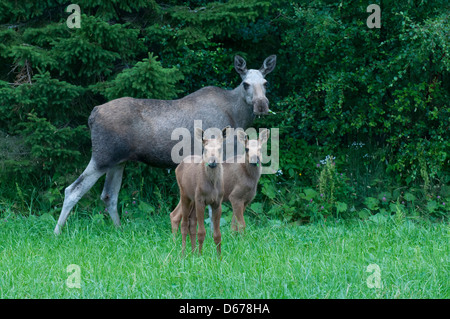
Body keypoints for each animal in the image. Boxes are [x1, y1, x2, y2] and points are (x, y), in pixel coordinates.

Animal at [54, 55, 276, 235]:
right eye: (246, 83)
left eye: (265, 83)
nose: (261, 105)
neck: (237, 116)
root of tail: (93, 114)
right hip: (102, 157)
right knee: (73, 190)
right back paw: (57, 232)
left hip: (118, 162)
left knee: (109, 195)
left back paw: (119, 230)